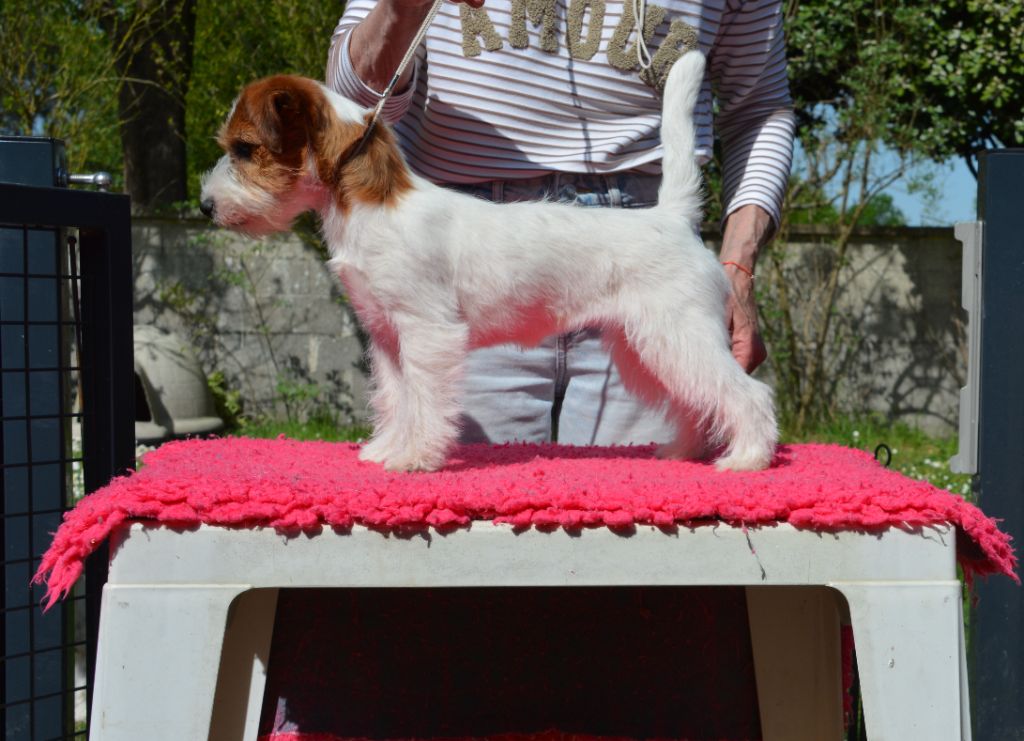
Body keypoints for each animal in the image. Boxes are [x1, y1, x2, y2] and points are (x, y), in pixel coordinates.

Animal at [199, 51, 777, 472]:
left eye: (245, 149)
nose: (205, 206)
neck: (369, 206)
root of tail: (673, 218)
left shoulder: (427, 333)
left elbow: (425, 401)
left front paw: (414, 458)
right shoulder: (387, 336)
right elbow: (396, 399)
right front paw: (388, 450)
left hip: (676, 335)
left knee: (746, 392)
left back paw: (747, 459)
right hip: (645, 346)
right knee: (695, 400)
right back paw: (684, 452)